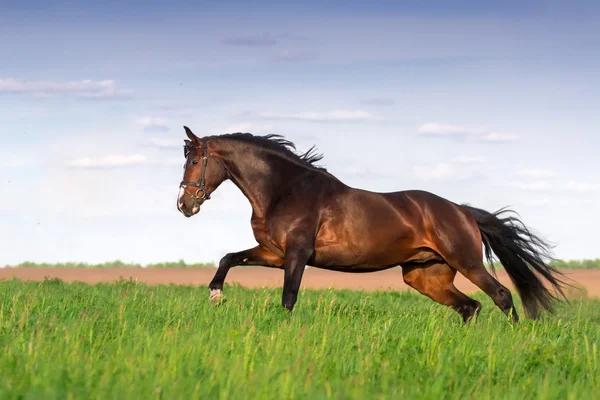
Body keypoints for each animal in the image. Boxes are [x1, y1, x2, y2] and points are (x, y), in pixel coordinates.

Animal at [177, 126, 568, 324]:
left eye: (195, 160)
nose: (184, 205)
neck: (285, 189)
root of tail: (462, 211)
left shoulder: (297, 254)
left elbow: (288, 298)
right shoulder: (273, 253)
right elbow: (228, 257)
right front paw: (216, 296)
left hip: (466, 262)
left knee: (501, 296)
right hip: (425, 276)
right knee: (469, 307)